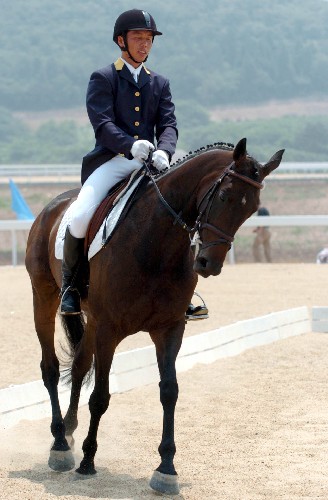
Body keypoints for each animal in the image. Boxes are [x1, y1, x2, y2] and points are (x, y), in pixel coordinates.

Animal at [25, 139, 284, 494]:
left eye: (251, 209)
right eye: (224, 196)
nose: (208, 264)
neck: (156, 242)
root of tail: (53, 205)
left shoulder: (169, 328)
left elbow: (169, 392)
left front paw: (166, 469)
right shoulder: (109, 329)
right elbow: (101, 396)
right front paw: (88, 461)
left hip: (91, 320)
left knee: (78, 367)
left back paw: (68, 430)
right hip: (45, 297)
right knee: (50, 368)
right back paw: (61, 447)